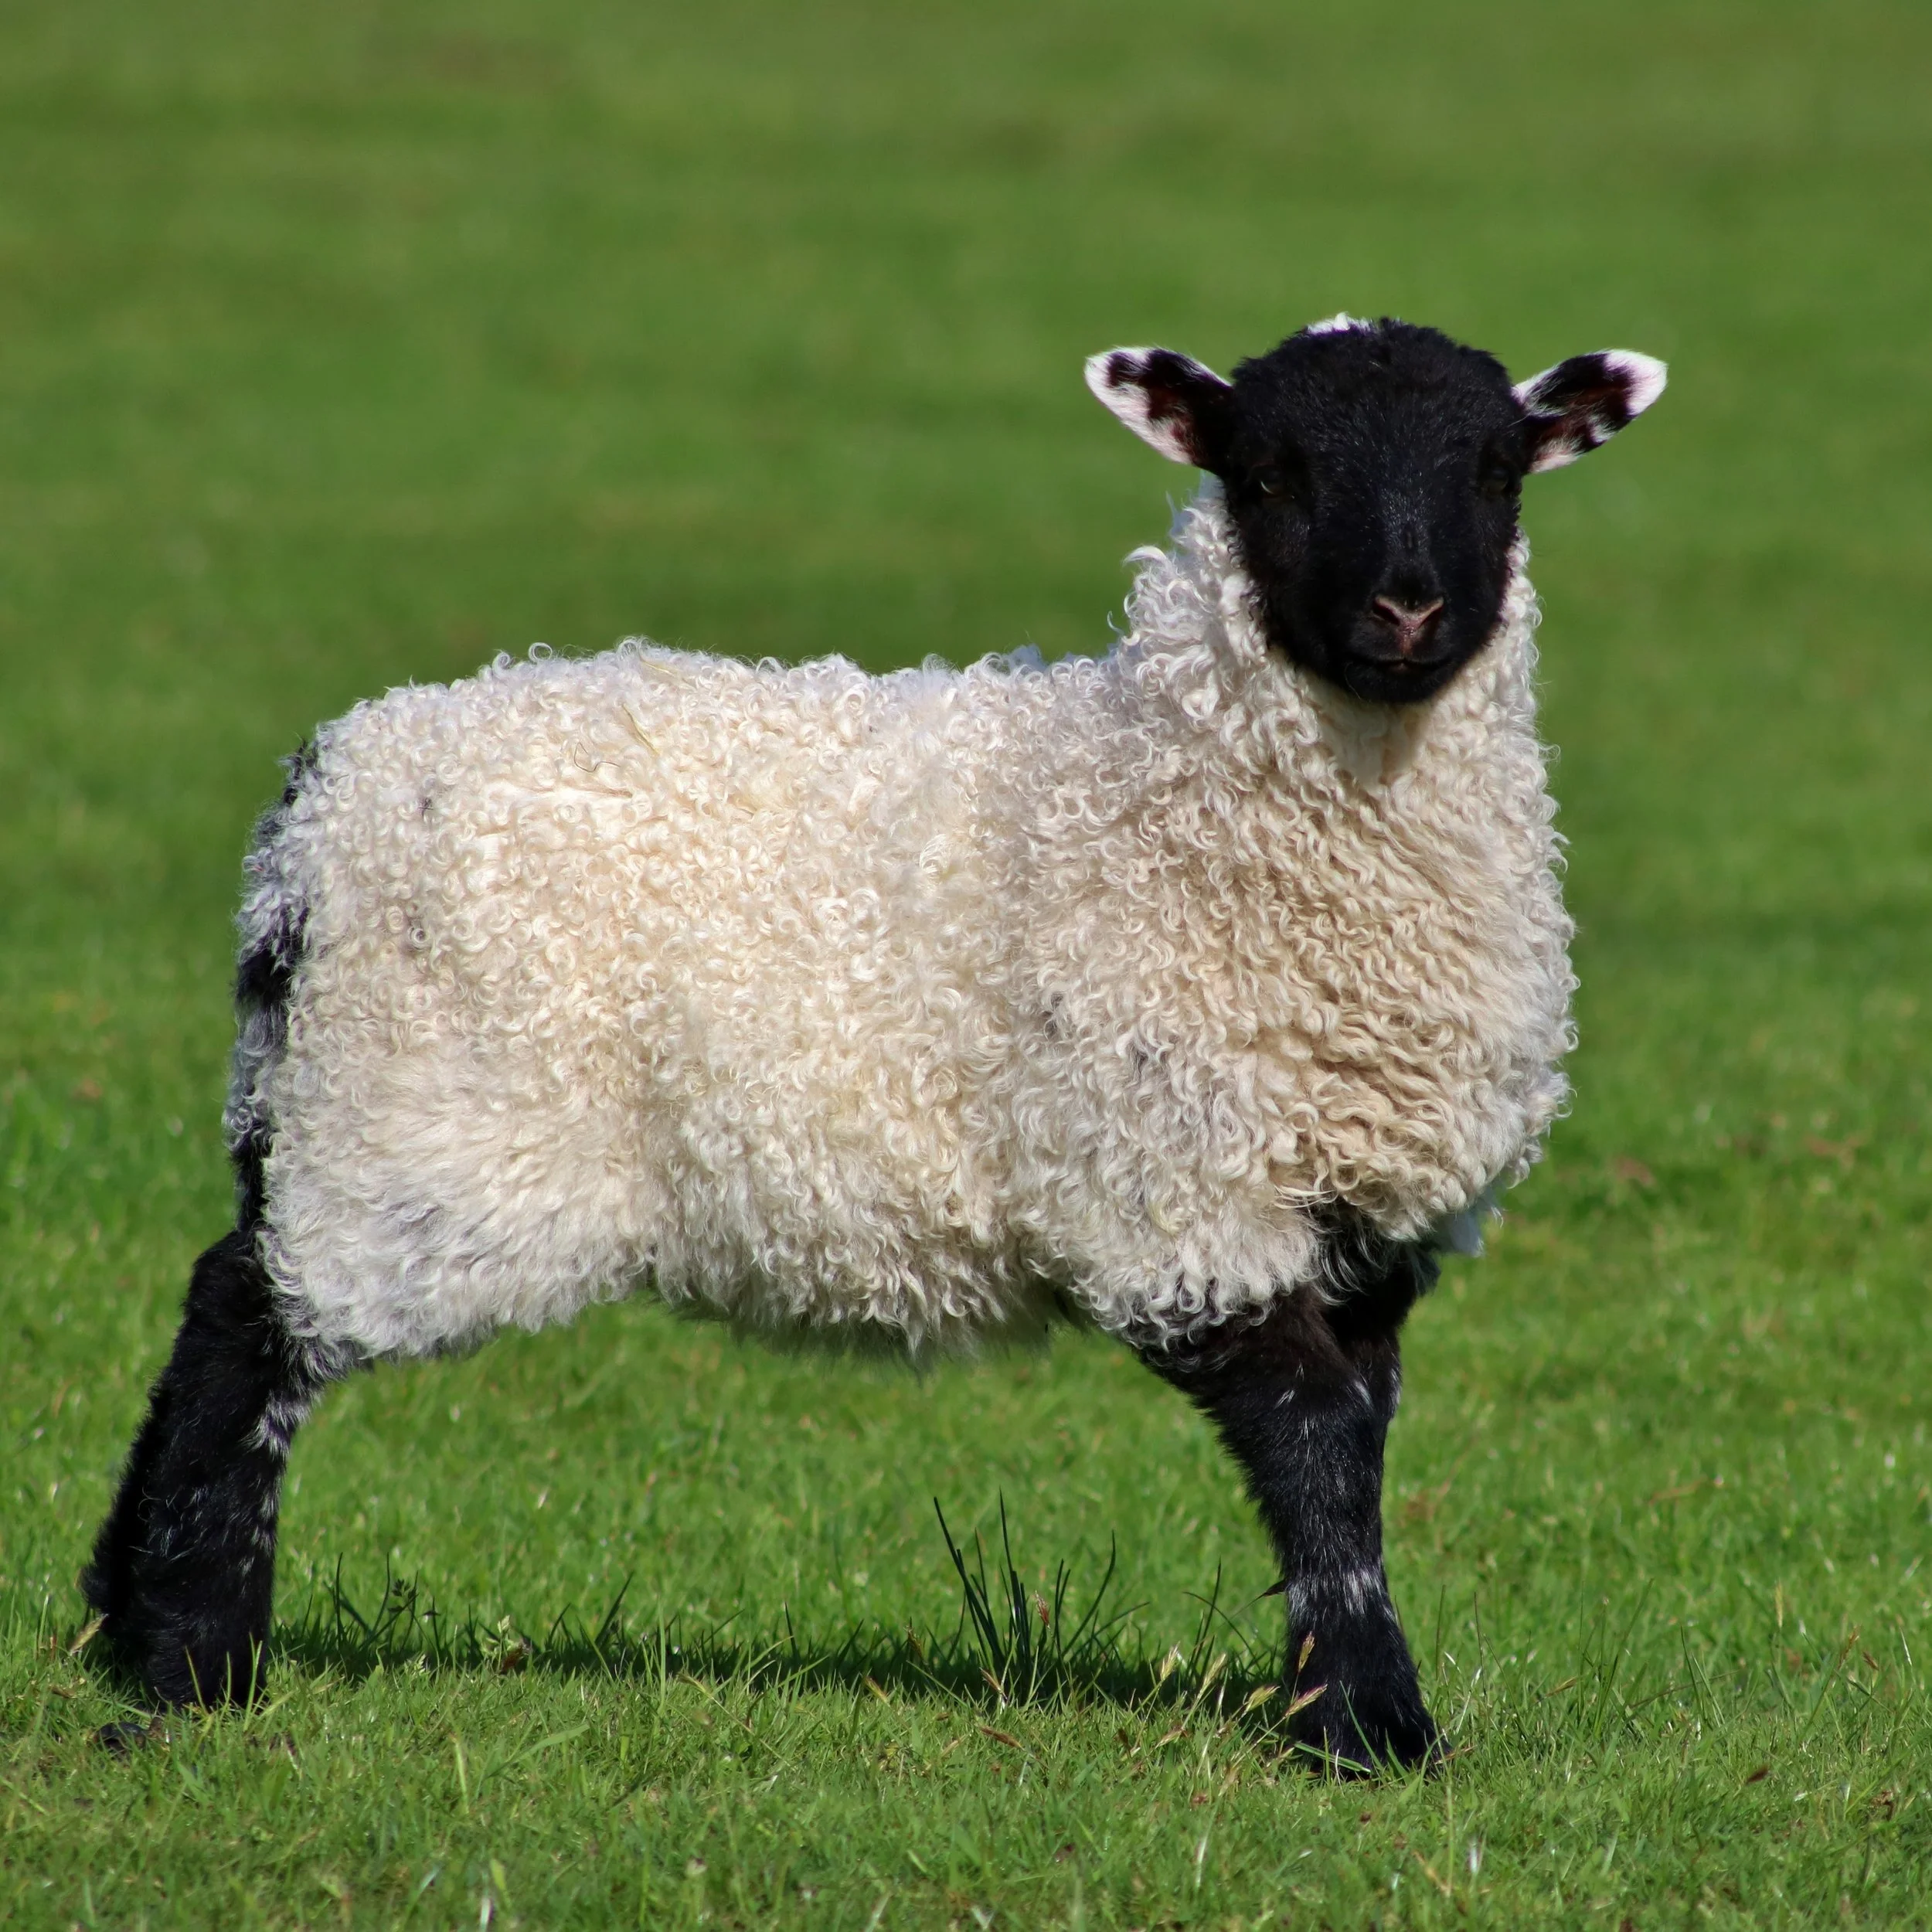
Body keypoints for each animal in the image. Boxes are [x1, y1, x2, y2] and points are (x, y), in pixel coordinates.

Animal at [86, 315, 1665, 1771]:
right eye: (1272, 473)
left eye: (1495, 471)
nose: (1407, 610)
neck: (1166, 797)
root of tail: (322, 801)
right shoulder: (1172, 1194)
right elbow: (1316, 1446)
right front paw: (1375, 1727)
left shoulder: (1372, 1227)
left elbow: (1357, 1446)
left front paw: (1334, 1703)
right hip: (421, 1120)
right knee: (248, 1323)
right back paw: (189, 1664)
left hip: (334, 1104)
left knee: (222, 1287)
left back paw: (117, 1612)